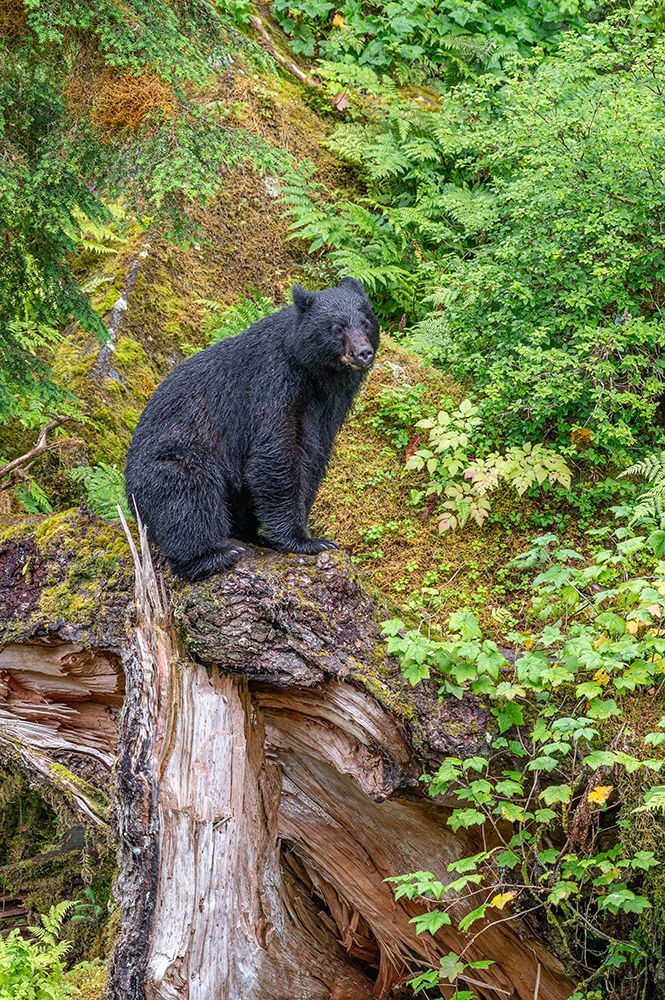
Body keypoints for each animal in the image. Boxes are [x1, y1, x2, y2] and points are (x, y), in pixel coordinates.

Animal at [124, 278, 380, 581]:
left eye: (365, 321)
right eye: (337, 327)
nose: (363, 353)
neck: (315, 372)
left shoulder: (330, 405)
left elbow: (312, 457)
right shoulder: (274, 384)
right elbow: (276, 453)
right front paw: (305, 540)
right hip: (173, 461)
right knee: (188, 499)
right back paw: (214, 555)